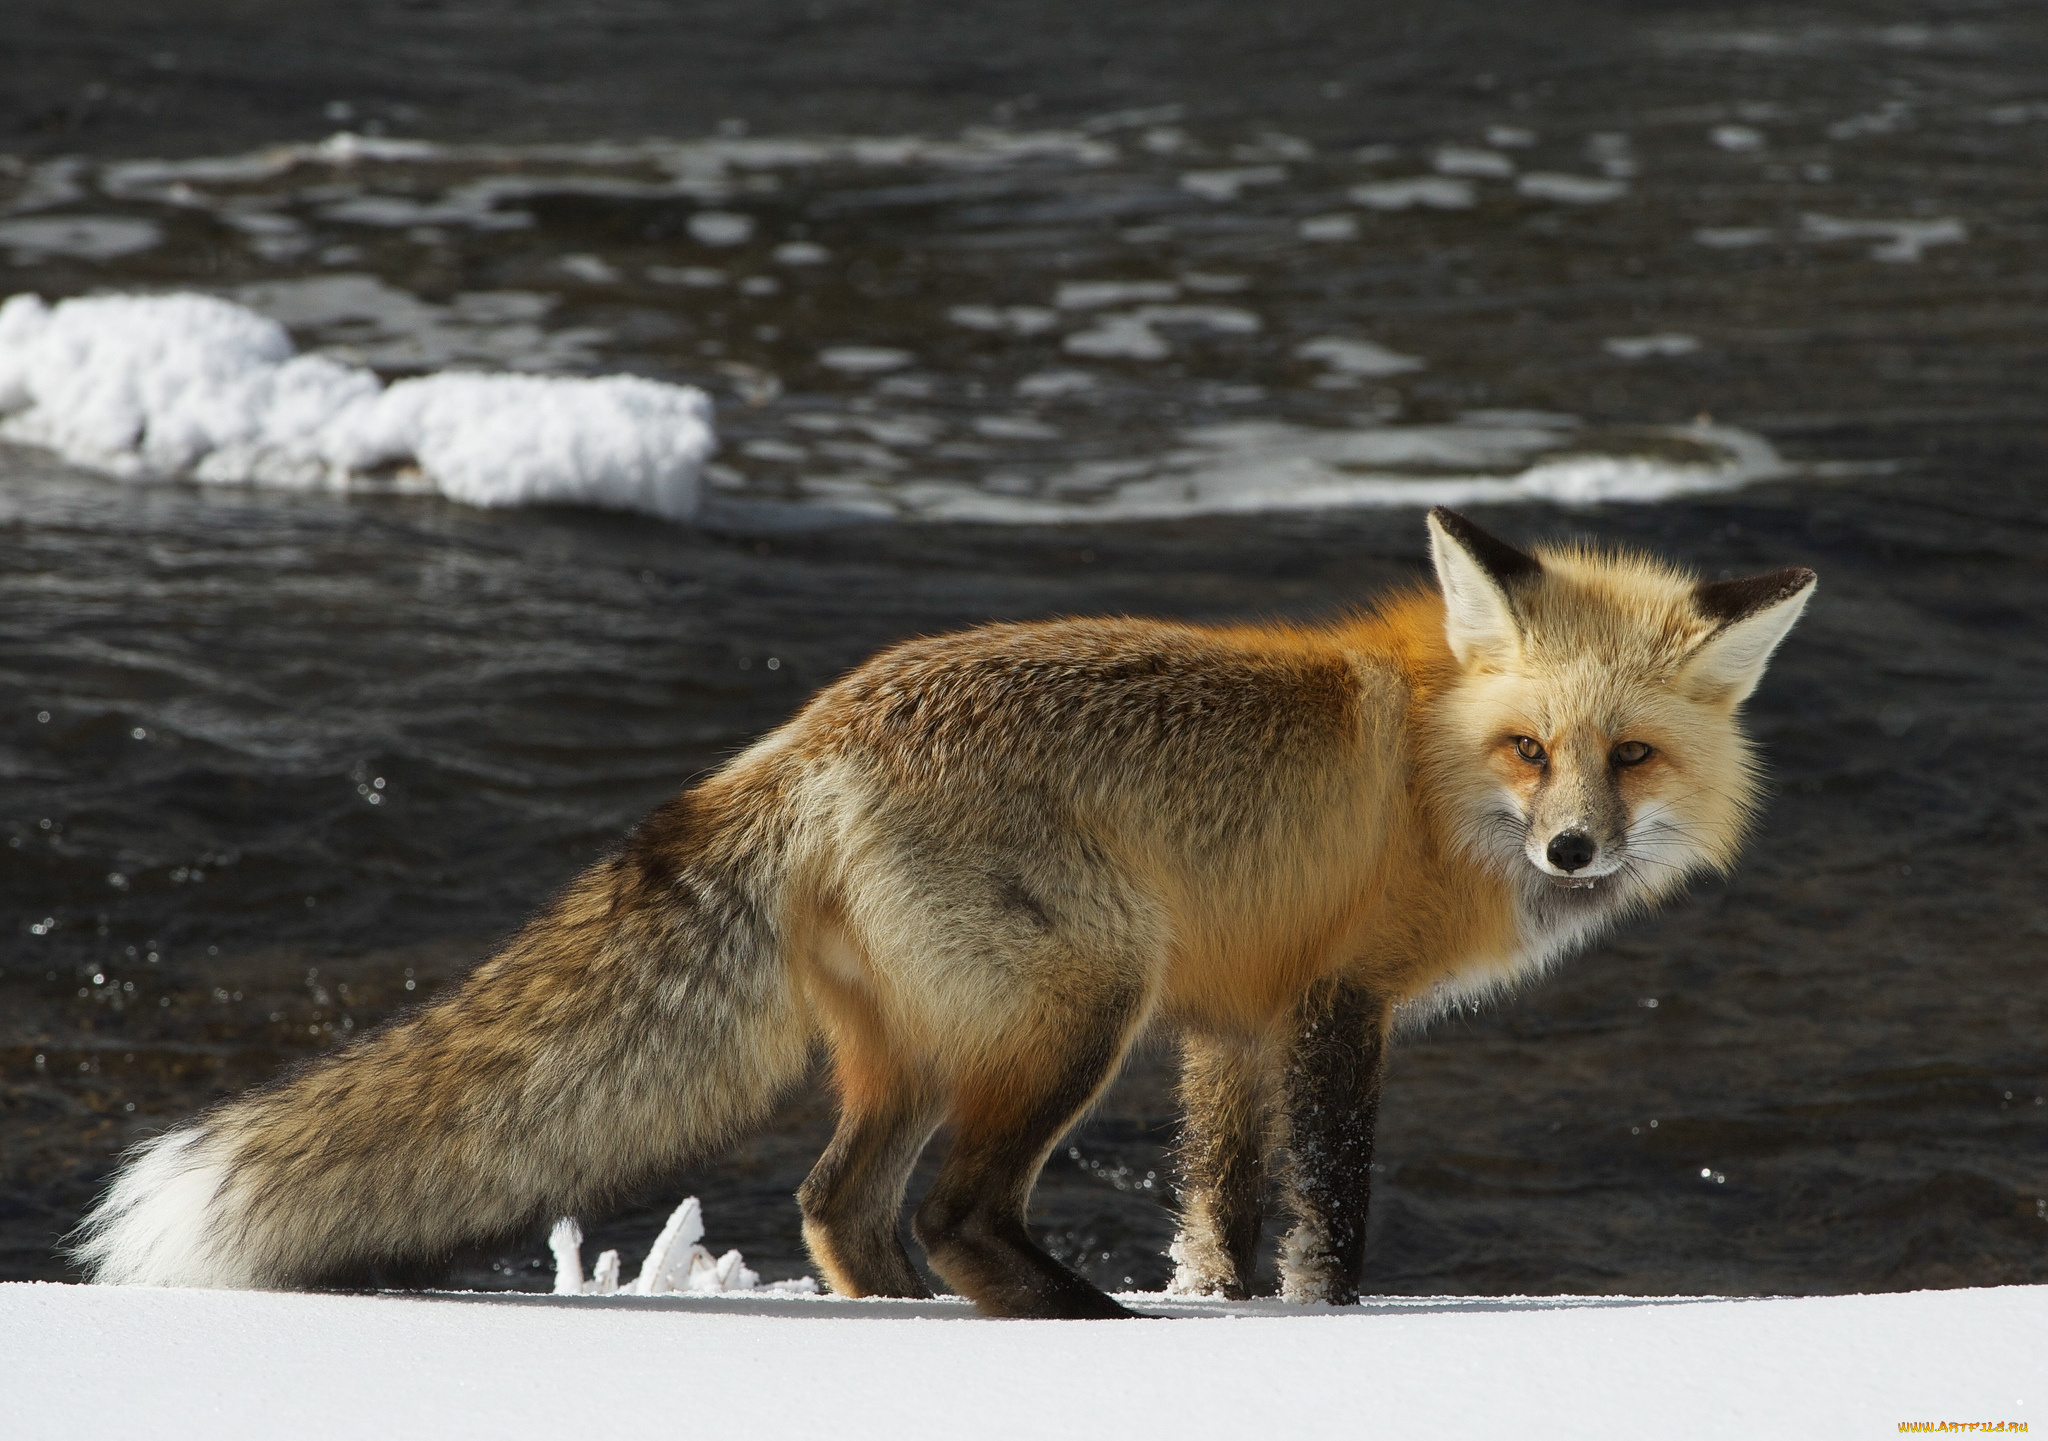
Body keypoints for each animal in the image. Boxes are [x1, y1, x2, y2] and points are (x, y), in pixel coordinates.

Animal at [72, 507, 1818, 1318]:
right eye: (1532, 751)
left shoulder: (1233, 1019)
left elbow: (1221, 1207)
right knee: (955, 1206)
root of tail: (804, 736)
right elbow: (1327, 1211)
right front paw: (1316, 1328)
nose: (1576, 849)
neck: (1423, 762)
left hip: (928, 1045)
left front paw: (1225, 1316)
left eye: (1630, 754)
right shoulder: (1328, 1006)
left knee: (841, 1201)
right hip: (1077, 1010)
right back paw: (1079, 1326)